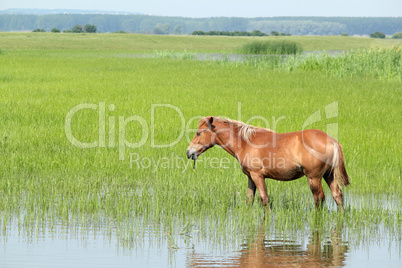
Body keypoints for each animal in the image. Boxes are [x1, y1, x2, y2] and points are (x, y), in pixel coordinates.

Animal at [187, 116, 350, 211]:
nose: (189, 152)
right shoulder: (250, 177)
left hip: (314, 178)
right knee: (337, 196)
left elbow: (264, 199)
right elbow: (249, 200)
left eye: (199, 133)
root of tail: (332, 141)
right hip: (329, 176)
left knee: (319, 198)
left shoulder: (258, 176)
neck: (245, 143)